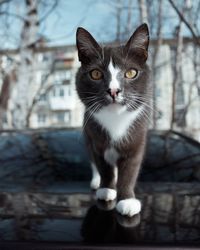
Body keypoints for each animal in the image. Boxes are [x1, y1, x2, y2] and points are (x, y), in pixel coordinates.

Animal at [75, 23, 152, 217]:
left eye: (131, 72)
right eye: (95, 74)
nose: (114, 90)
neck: (115, 119)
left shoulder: (137, 136)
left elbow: (130, 170)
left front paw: (127, 200)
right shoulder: (94, 134)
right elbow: (103, 165)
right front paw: (106, 189)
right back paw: (97, 181)